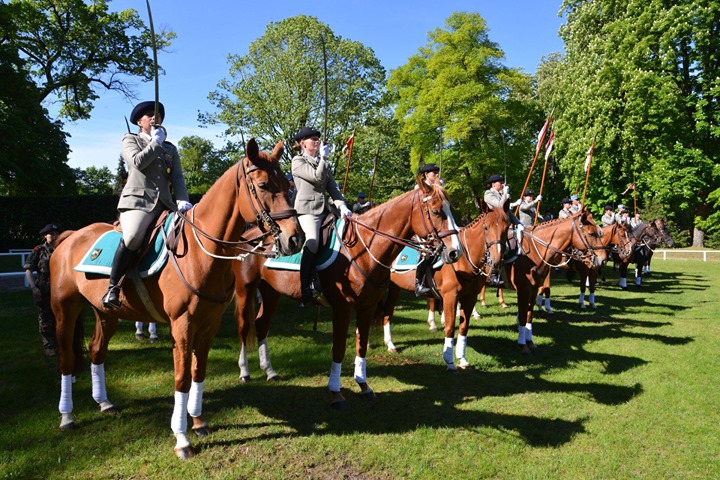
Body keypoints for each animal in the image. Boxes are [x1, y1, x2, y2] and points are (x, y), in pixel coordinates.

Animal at [48, 139, 300, 458]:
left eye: (289, 186)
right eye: (265, 185)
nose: (295, 239)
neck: (201, 253)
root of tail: (69, 236)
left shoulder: (209, 324)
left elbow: (198, 372)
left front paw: (199, 422)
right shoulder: (182, 324)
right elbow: (182, 378)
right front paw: (182, 438)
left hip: (106, 313)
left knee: (96, 350)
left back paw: (104, 402)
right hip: (64, 309)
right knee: (66, 359)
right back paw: (67, 416)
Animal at [233, 178, 464, 406]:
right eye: (436, 211)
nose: (456, 252)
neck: (362, 250)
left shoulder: (366, 307)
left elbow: (361, 346)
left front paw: (363, 385)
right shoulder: (342, 309)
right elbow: (339, 348)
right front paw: (336, 392)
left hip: (271, 292)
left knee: (262, 325)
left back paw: (270, 372)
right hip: (246, 290)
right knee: (244, 328)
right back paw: (244, 372)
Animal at [380, 202, 510, 372]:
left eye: (507, 228)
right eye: (486, 227)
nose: (496, 261)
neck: (463, 261)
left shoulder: (469, 298)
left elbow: (463, 328)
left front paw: (462, 359)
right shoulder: (450, 297)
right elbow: (449, 327)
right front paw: (450, 362)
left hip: (394, 287)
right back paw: (387, 344)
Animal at [506, 209, 608, 352]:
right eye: (591, 233)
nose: (603, 259)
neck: (533, 251)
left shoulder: (534, 288)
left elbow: (529, 315)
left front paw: (530, 341)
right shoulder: (524, 289)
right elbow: (523, 315)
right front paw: (522, 344)